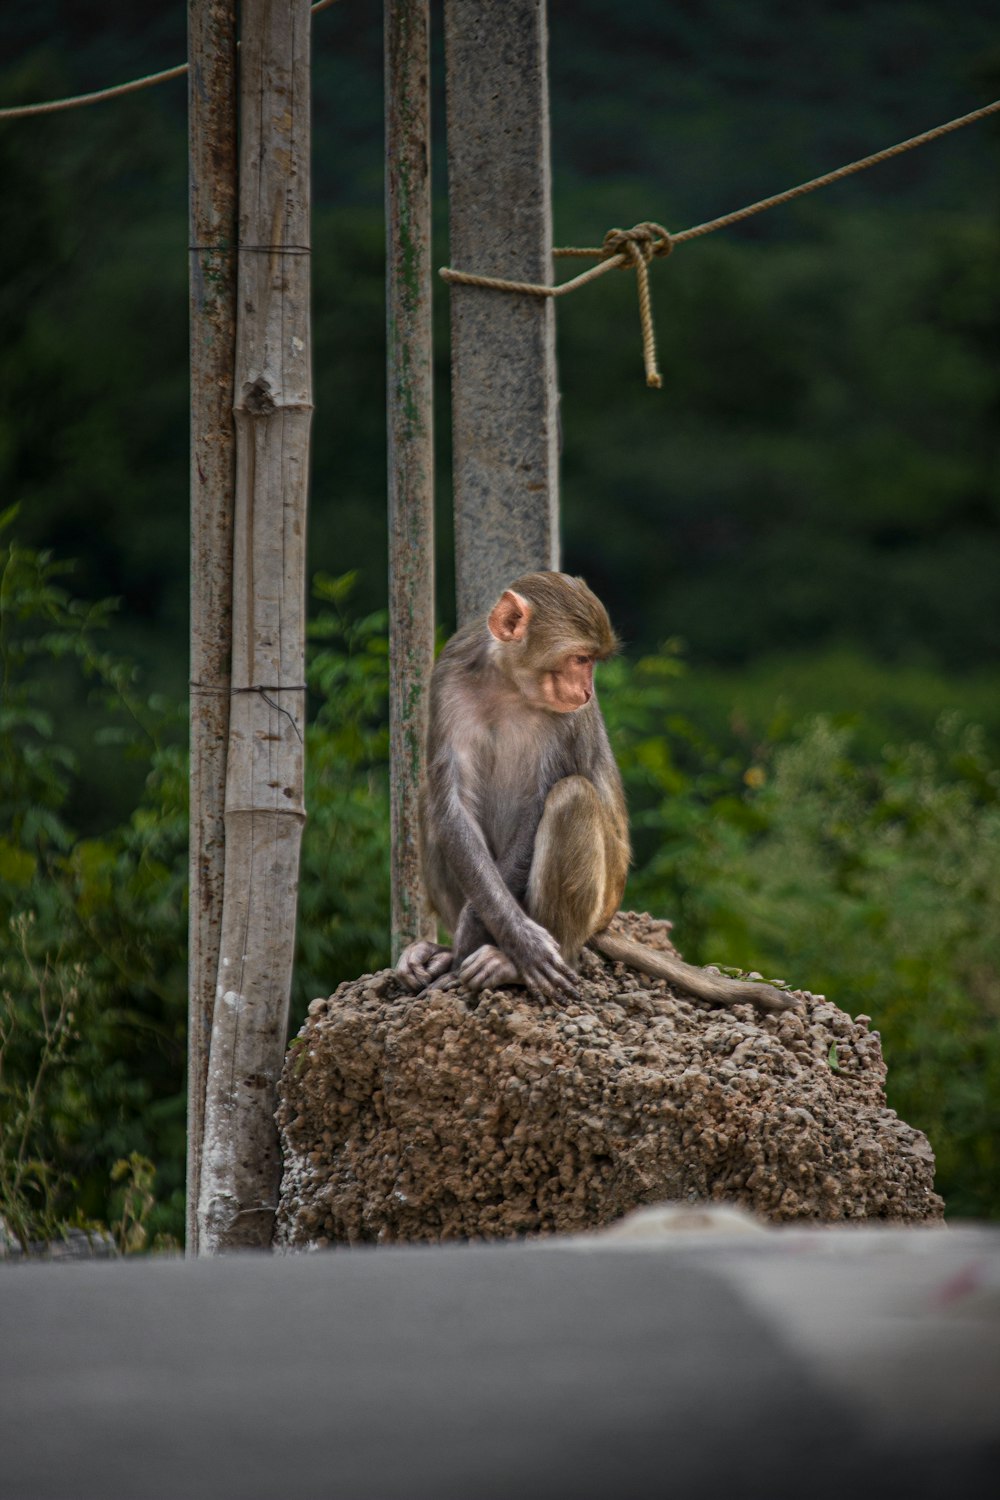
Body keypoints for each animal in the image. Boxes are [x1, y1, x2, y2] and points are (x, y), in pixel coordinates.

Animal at [395, 567, 797, 1014]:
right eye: (580, 659)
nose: (587, 690)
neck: (509, 685)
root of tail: (604, 922)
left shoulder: (572, 718)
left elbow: (541, 804)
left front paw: (498, 943)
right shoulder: (449, 674)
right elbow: (453, 806)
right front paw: (494, 941)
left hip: (599, 905)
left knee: (572, 797)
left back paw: (522, 961)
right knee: (429, 802)